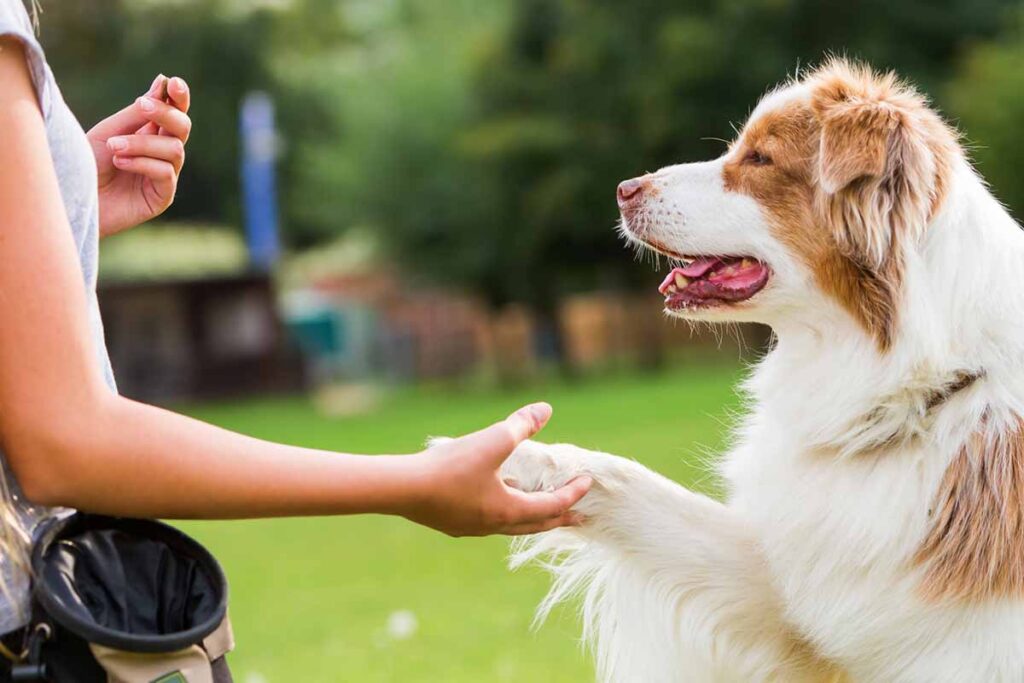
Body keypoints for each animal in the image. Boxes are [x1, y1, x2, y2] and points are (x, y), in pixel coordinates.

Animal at [501, 60, 1024, 683]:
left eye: (759, 158)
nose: (624, 190)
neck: (924, 394)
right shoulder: (806, 590)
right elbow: (630, 482)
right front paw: (507, 457)